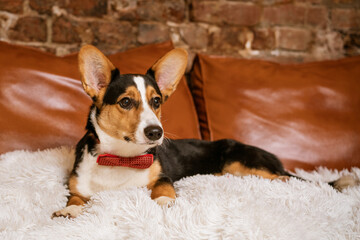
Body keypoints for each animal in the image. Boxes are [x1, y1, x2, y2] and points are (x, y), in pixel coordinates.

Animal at [52, 44, 358, 218]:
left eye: (156, 101)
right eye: (126, 102)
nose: (156, 132)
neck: (122, 157)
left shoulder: (163, 177)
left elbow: (163, 190)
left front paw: (165, 204)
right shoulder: (78, 185)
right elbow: (76, 198)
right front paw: (68, 210)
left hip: (243, 163)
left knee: (292, 181)